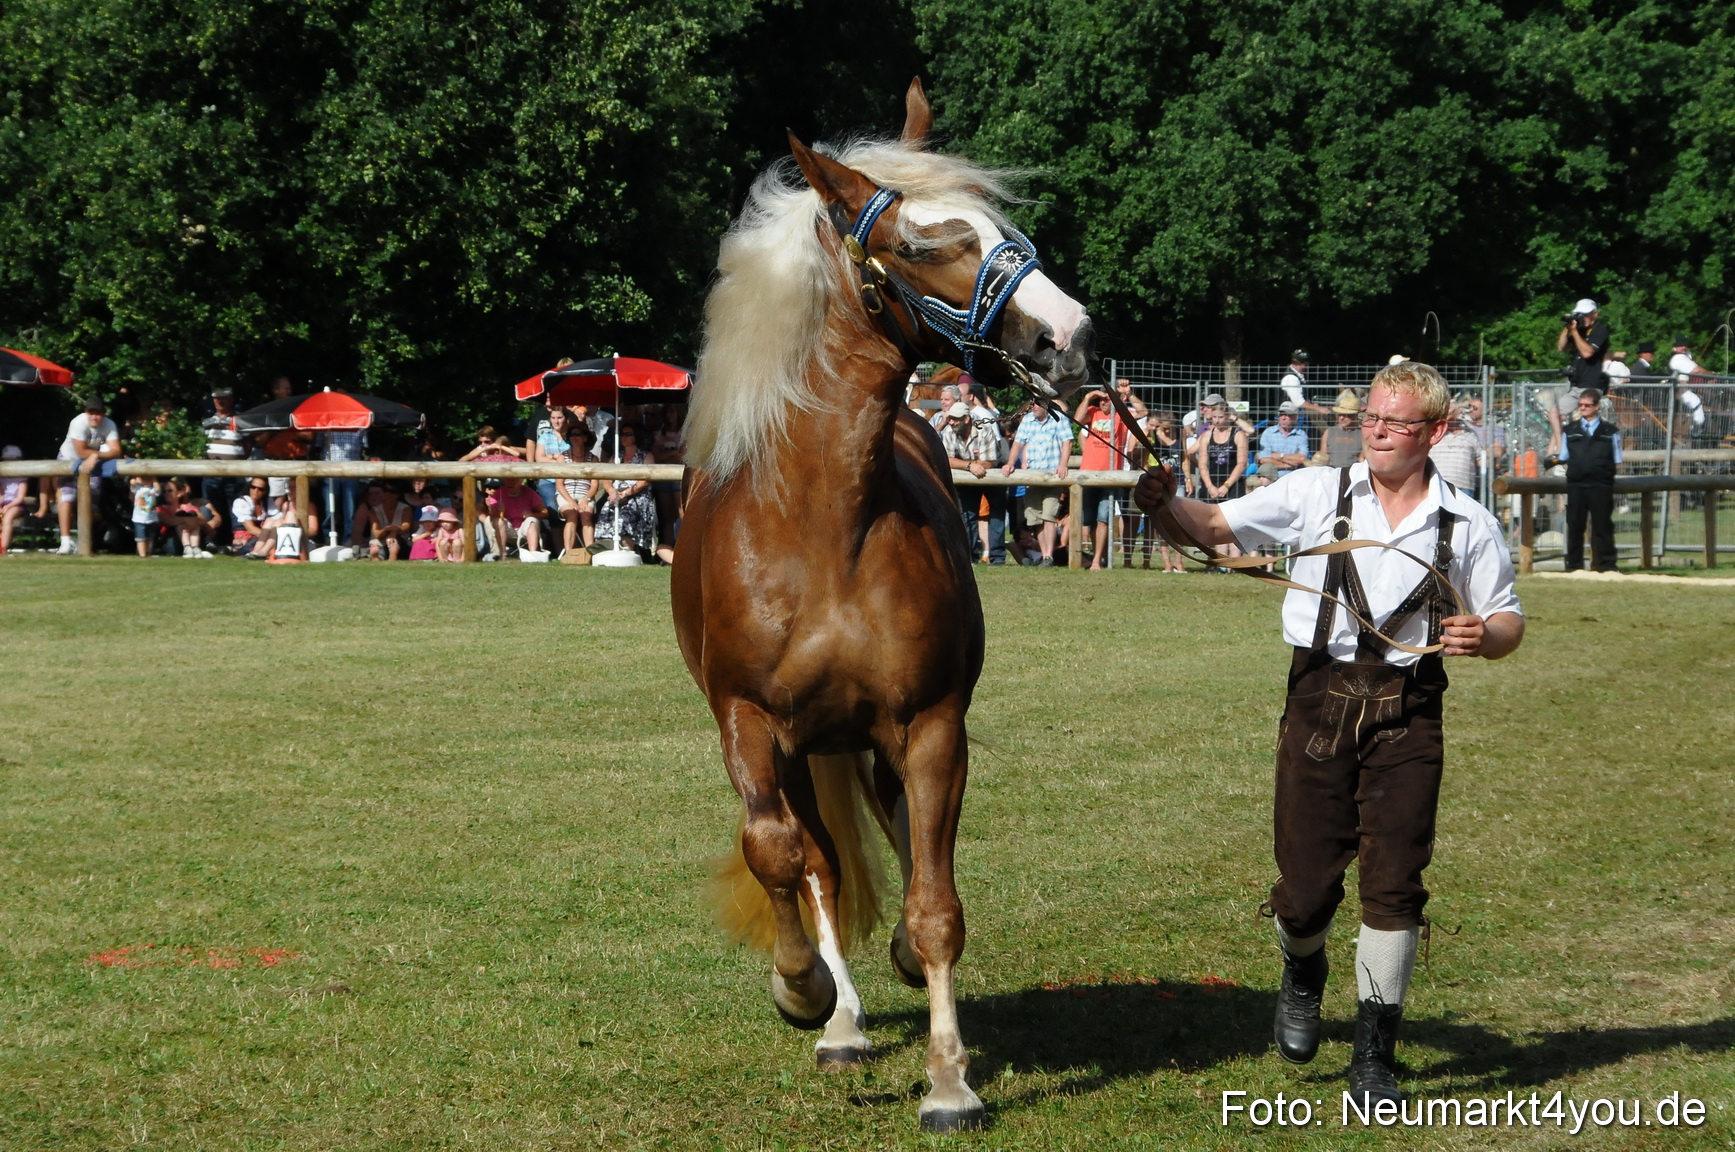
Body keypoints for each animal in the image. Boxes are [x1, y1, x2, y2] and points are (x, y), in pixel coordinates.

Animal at [671, 80, 1093, 1132]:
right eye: (922, 241)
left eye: (1003, 226)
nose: (1069, 339)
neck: (821, 527)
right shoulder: (749, 724)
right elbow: (777, 852)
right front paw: (803, 991)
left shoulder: (930, 723)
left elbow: (934, 904)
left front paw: (948, 1081)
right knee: (816, 858)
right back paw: (841, 1021)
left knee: (903, 842)